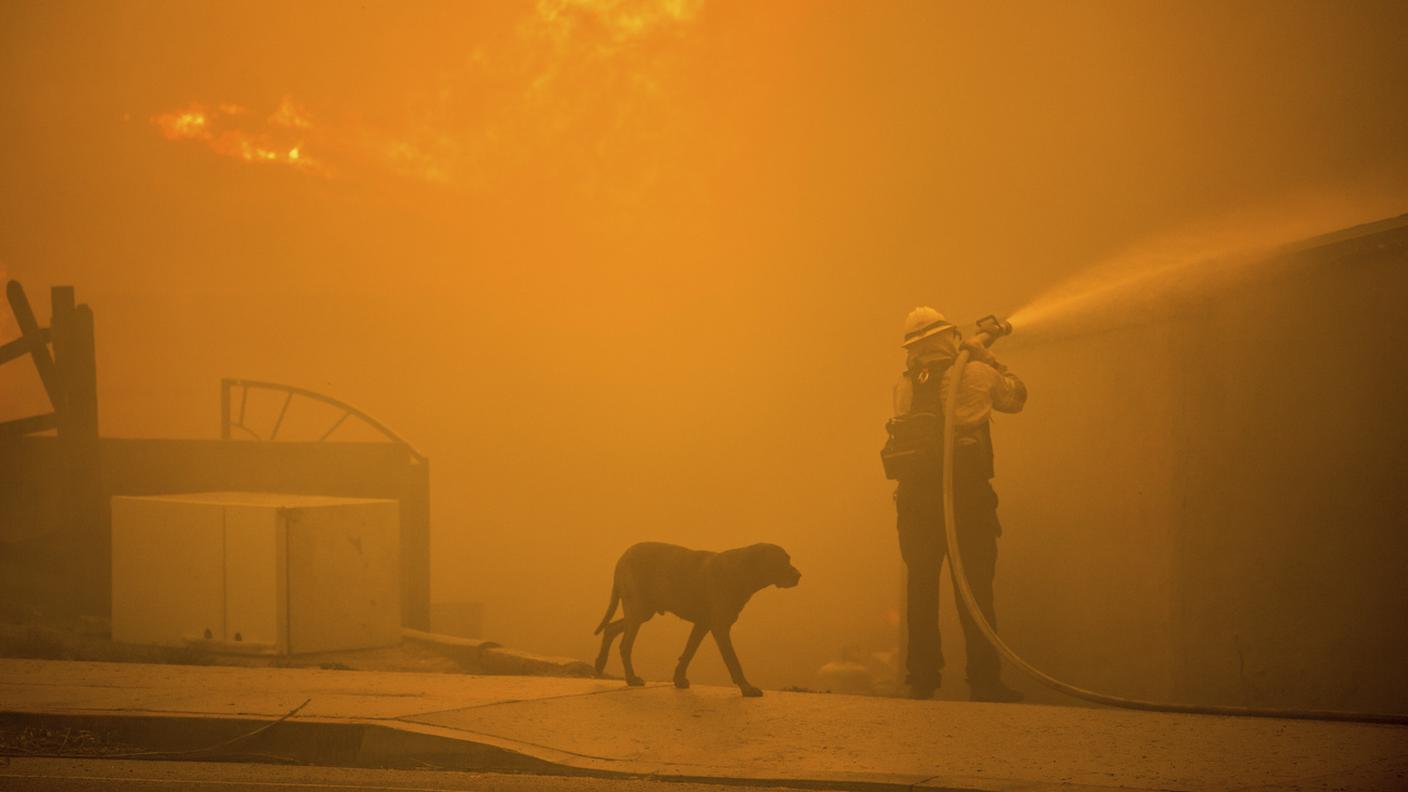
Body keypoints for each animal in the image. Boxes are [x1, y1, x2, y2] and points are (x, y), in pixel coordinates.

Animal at [588, 538, 799, 693]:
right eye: (782, 561)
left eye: (788, 559)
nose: (799, 576)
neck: (739, 571)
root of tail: (623, 557)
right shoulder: (719, 626)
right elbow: (733, 660)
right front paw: (746, 688)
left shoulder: (702, 624)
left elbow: (689, 652)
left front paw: (679, 678)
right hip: (638, 610)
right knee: (624, 645)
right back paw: (631, 678)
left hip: (642, 612)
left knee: (611, 628)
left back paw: (600, 664)